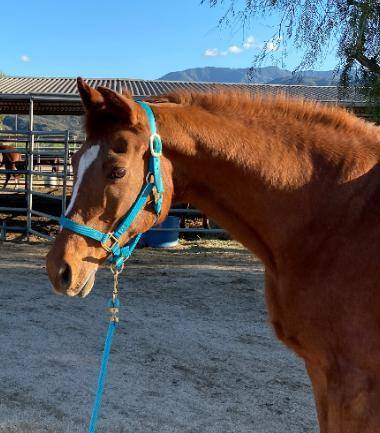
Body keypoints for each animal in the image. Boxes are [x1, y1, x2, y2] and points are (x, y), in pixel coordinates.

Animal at [46, 77, 380, 432]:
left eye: (117, 171)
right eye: (74, 161)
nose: (59, 268)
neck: (334, 216)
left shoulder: (354, 385)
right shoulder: (319, 370)